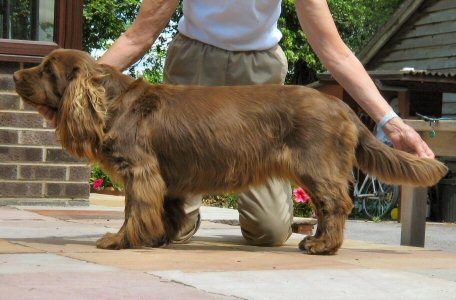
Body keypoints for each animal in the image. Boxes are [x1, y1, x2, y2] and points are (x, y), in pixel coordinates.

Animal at [14, 48, 448, 253]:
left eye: (47, 70)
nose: (16, 73)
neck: (112, 103)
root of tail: (341, 106)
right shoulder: (167, 177)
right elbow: (166, 211)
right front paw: (159, 239)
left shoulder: (141, 170)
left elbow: (135, 210)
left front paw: (119, 240)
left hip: (318, 166)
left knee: (335, 205)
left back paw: (320, 245)